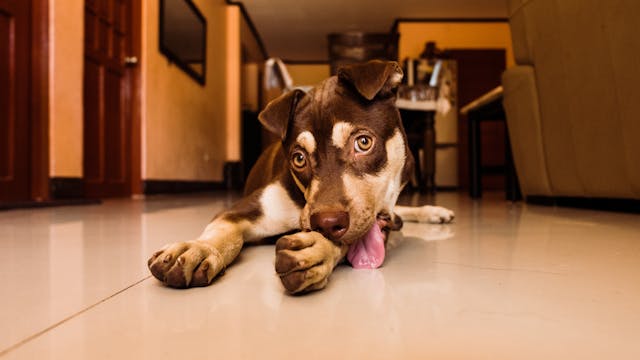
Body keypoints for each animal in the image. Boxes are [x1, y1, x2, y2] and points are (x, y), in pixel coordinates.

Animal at [148, 60, 456, 294]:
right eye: (299, 159)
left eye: (363, 143)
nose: (326, 222)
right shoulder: (241, 210)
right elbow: (224, 231)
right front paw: (198, 248)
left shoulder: (373, 223)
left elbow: (349, 238)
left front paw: (316, 251)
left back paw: (432, 211)